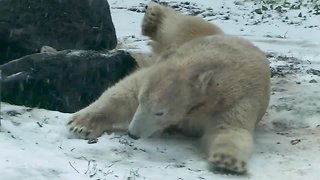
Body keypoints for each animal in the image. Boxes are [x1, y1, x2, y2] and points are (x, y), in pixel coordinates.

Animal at [67, 1, 270, 175]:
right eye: (141, 102)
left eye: (160, 112)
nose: (132, 134)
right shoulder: (160, 70)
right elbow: (125, 92)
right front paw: (80, 124)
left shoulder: (235, 100)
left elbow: (229, 129)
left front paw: (227, 161)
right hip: (196, 37)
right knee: (184, 26)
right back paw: (153, 16)